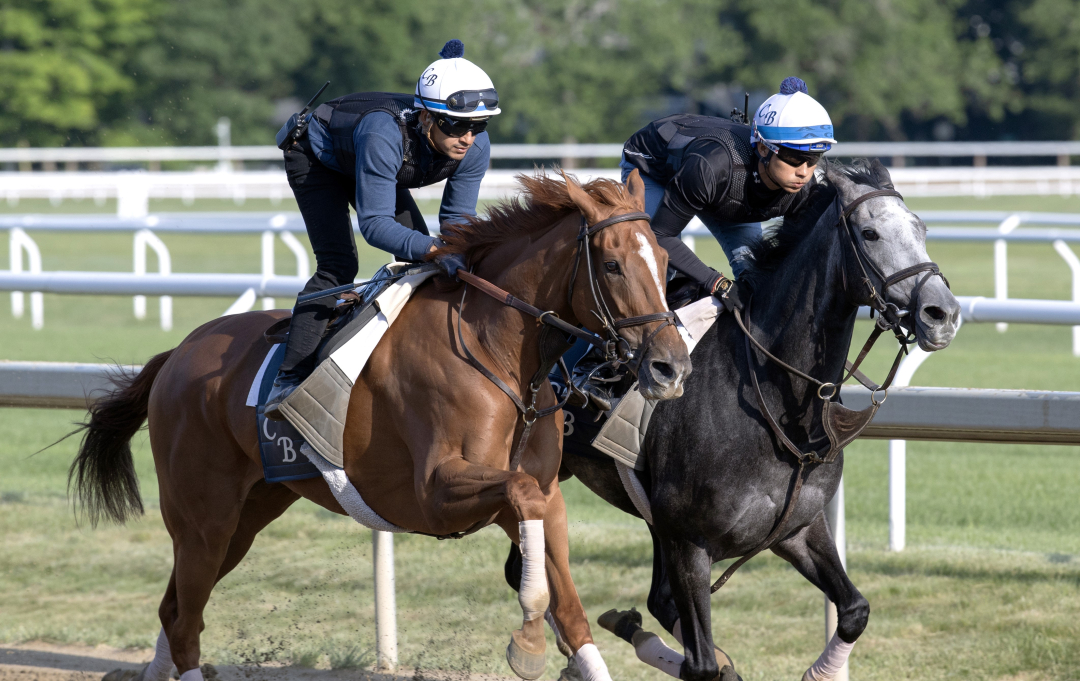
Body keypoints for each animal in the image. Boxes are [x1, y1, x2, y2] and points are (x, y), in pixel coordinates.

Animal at [71, 169, 691, 681]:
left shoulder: (544, 495)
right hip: (203, 517)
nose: (671, 366)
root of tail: (176, 354)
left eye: (665, 264)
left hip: (248, 515)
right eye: (612, 264)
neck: (495, 349)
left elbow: (572, 608)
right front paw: (529, 642)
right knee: (184, 623)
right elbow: (520, 503)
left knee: (176, 610)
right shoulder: (435, 493)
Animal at [503, 158, 954, 681]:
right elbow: (701, 665)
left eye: (921, 228)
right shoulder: (689, 541)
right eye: (870, 232)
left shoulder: (797, 527)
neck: (772, 398)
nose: (943, 313)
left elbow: (854, 610)